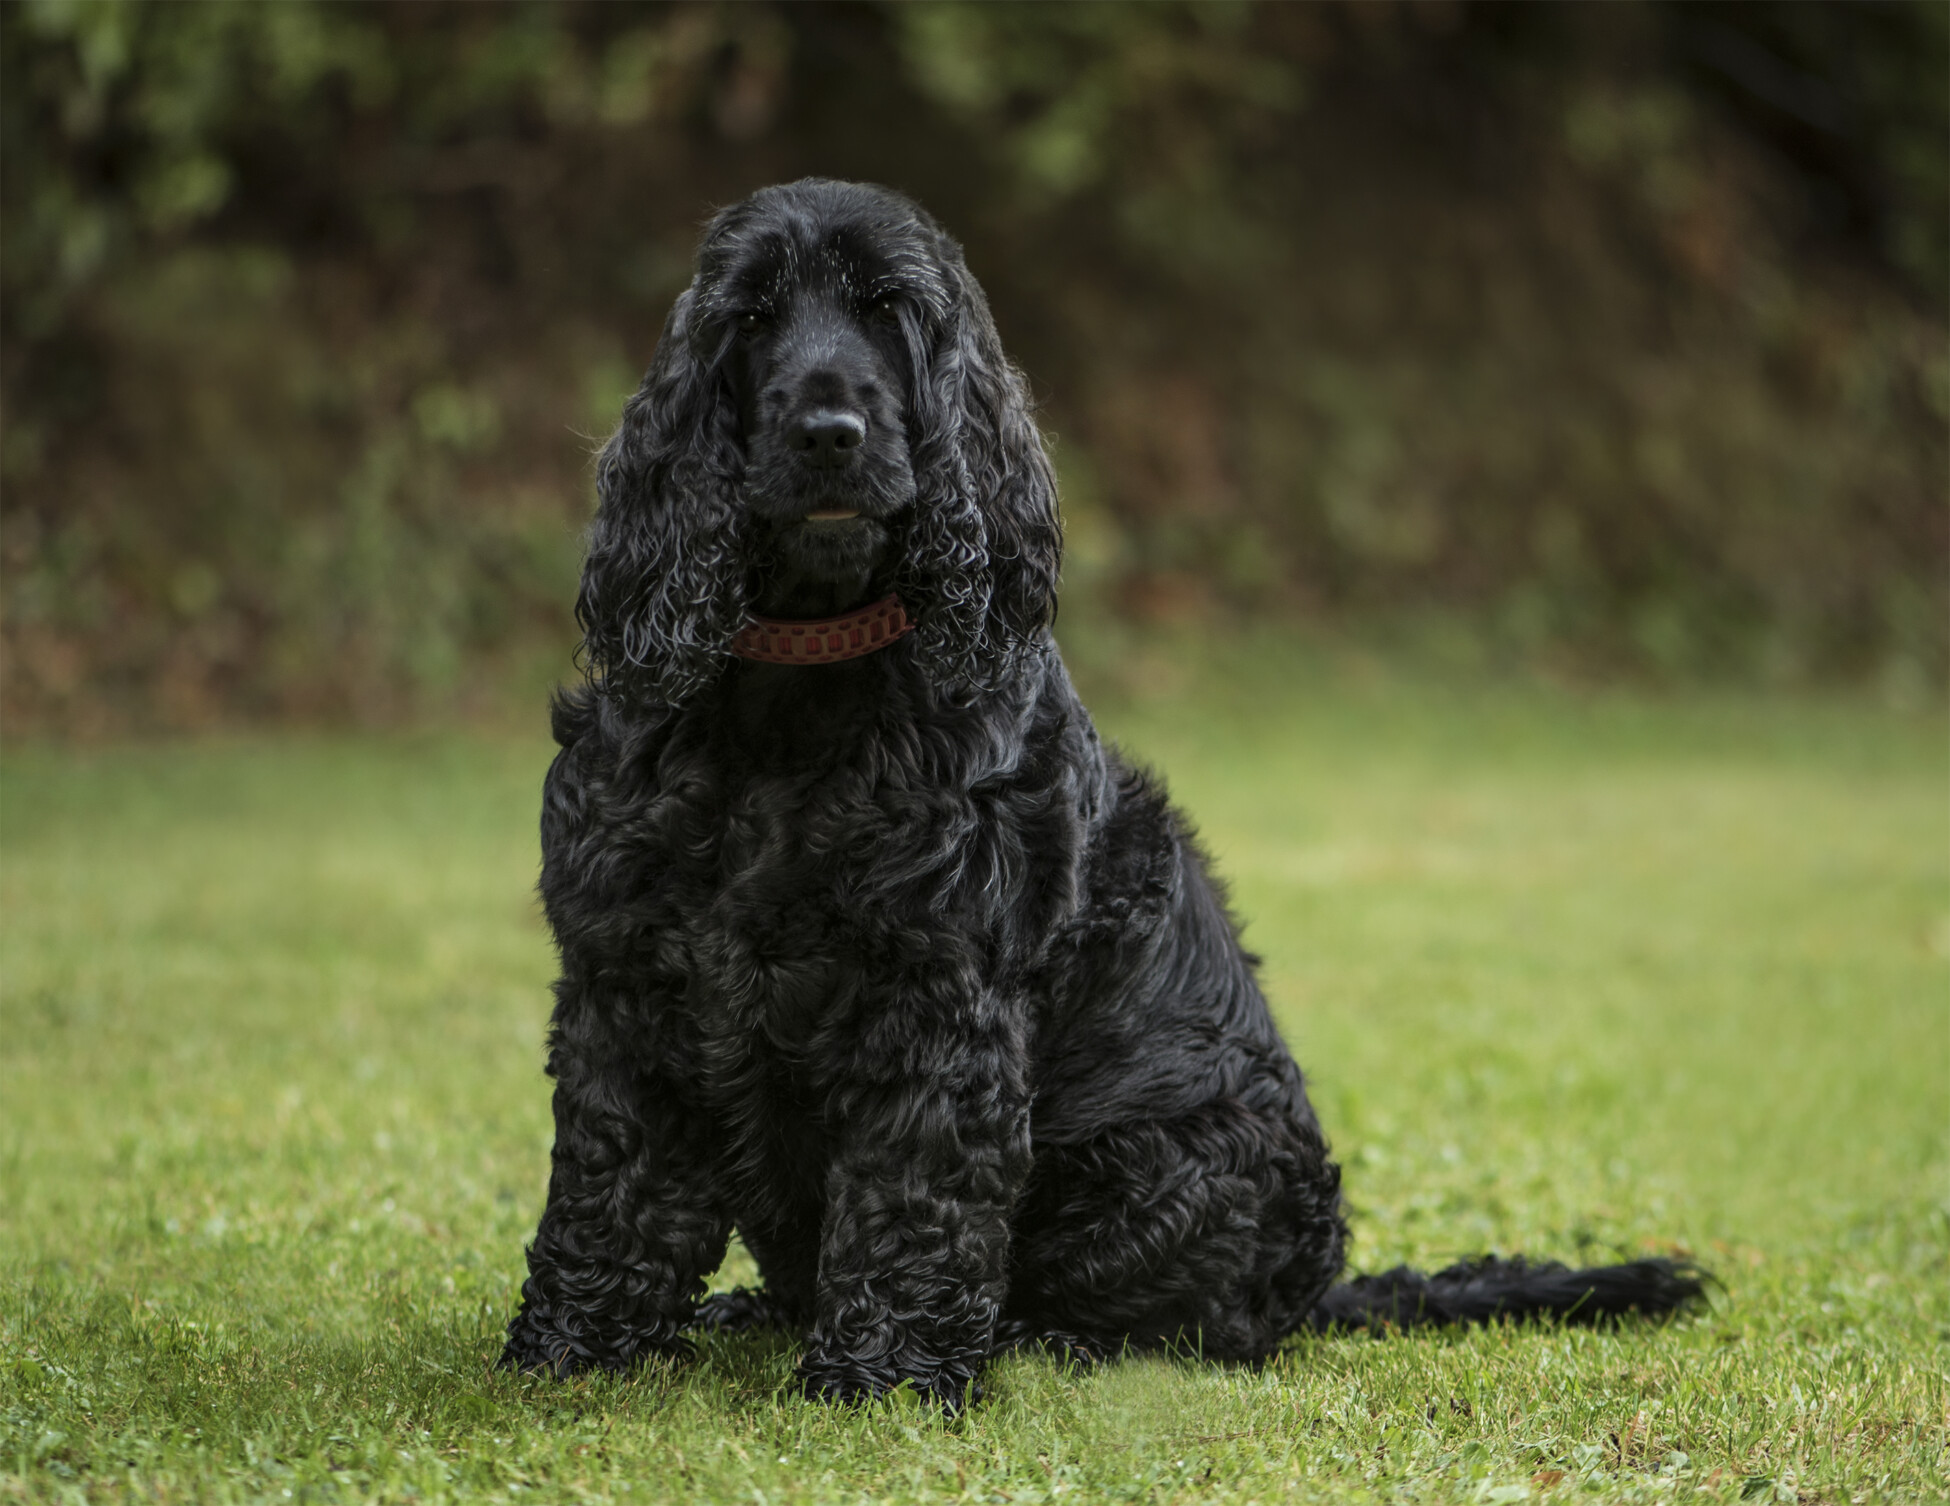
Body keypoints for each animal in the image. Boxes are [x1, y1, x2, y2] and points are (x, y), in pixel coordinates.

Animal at [503, 182, 1708, 1404]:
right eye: (751, 319)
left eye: (889, 312)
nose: (829, 434)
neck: (797, 692)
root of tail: (1324, 1287)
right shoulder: (626, 982)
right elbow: (613, 1189)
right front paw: (573, 1351)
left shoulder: (937, 1000)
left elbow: (911, 1200)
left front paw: (882, 1380)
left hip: (1166, 1159)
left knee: (1187, 1326)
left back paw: (1036, 1342)